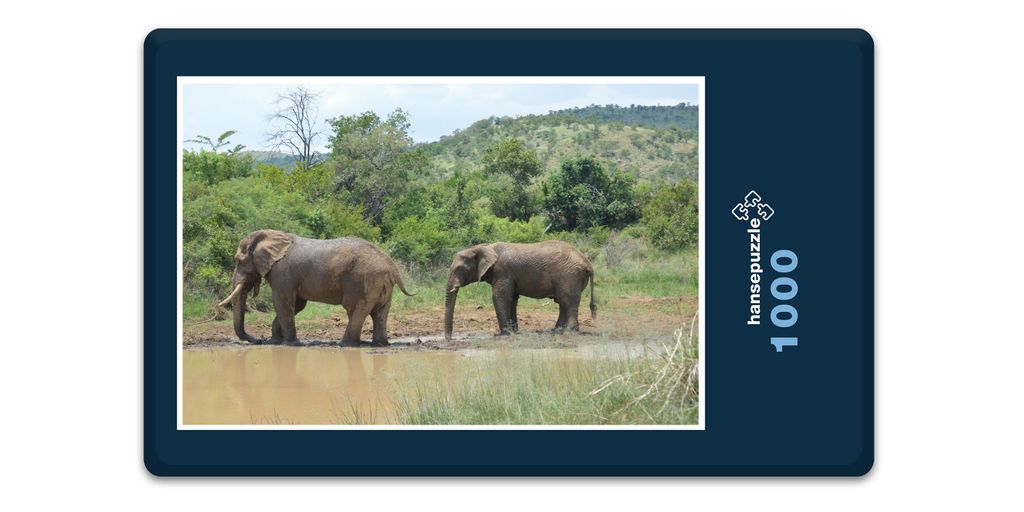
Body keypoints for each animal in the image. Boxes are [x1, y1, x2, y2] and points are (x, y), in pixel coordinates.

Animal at [217, 229, 414, 347]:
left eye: (238, 260)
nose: (258, 340)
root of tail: (391, 265)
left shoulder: (283, 273)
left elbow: (282, 302)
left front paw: (291, 344)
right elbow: (297, 304)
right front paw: (275, 341)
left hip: (363, 281)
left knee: (355, 310)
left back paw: (345, 345)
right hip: (381, 285)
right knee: (379, 313)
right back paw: (379, 344)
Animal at [444, 240, 595, 340]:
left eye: (459, 269)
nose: (449, 339)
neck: (484, 247)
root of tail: (588, 263)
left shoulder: (502, 271)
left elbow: (500, 297)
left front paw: (504, 334)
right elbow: (512, 299)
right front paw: (514, 332)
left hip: (569, 276)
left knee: (567, 301)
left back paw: (569, 331)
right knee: (563, 302)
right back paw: (557, 330)